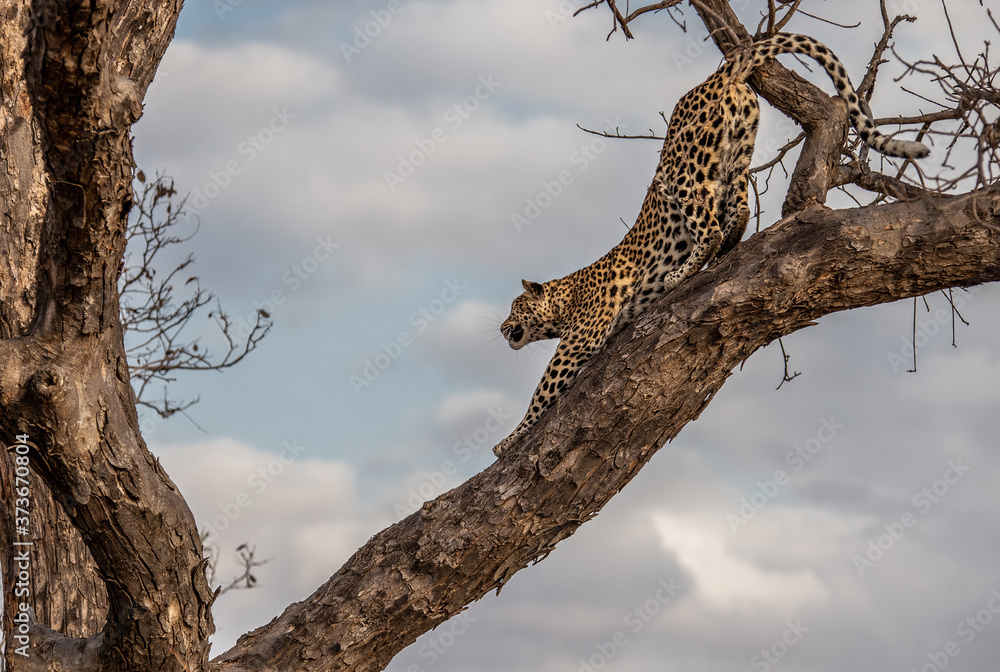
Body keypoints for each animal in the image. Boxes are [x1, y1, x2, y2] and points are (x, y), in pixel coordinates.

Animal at [493, 32, 929, 457]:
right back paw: (721, 255)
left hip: (682, 170)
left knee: (711, 227)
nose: (500, 328)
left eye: (515, 306)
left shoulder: (577, 341)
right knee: (739, 210)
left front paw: (508, 441)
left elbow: (541, 391)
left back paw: (681, 273)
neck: (566, 300)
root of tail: (715, 77)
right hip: (738, 148)